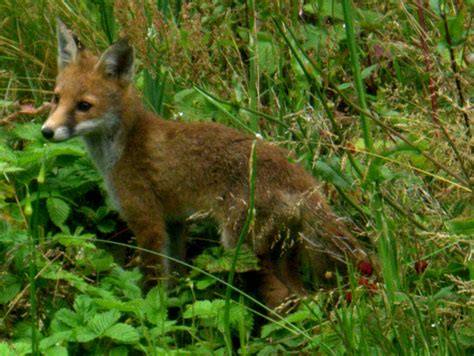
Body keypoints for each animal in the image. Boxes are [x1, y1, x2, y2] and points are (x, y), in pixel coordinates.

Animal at [42, 20, 368, 308]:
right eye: (56, 98)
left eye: (84, 106)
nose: (46, 131)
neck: (124, 144)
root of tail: (305, 183)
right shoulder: (175, 223)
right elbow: (175, 276)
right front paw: (176, 312)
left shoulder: (147, 222)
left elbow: (153, 284)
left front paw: (151, 314)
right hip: (282, 253)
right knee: (304, 299)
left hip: (241, 247)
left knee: (282, 299)